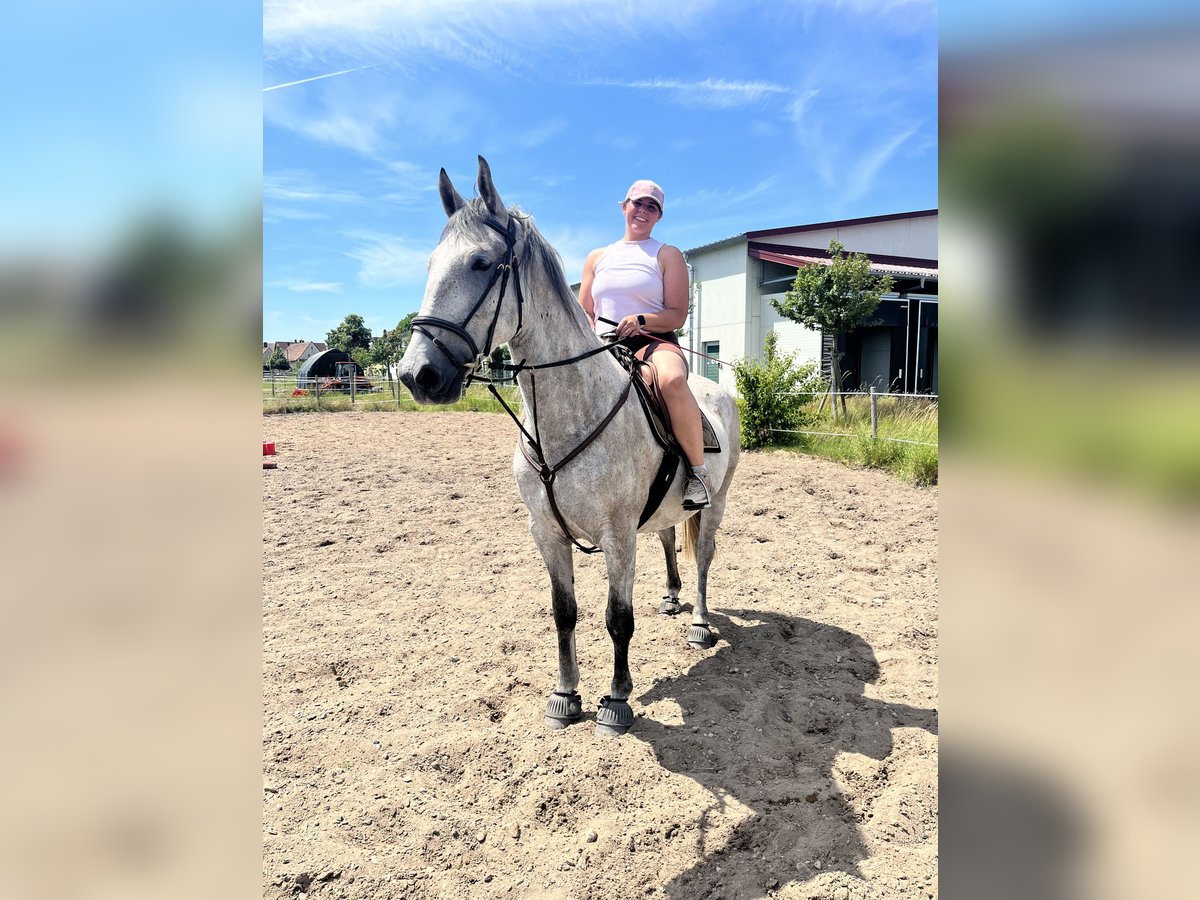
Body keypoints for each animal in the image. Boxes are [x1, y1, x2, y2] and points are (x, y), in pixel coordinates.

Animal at [398, 158, 734, 734]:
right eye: (431, 264)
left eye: (482, 263)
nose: (418, 374)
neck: (568, 416)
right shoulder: (547, 534)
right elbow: (564, 613)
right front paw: (566, 694)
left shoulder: (617, 536)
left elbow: (617, 619)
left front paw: (616, 701)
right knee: (669, 537)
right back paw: (671, 600)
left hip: (715, 506)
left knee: (704, 559)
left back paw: (698, 622)